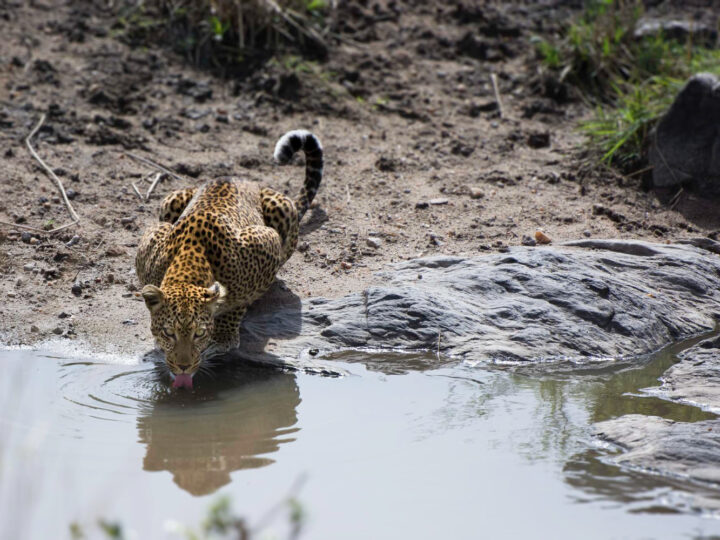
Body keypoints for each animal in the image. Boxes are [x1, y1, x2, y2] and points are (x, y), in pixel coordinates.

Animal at [136, 130, 322, 388]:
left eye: (199, 334)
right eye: (168, 333)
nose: (183, 367)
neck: (189, 258)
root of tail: (242, 178)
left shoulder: (265, 242)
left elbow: (238, 300)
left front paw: (223, 336)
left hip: (282, 208)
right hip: (171, 199)